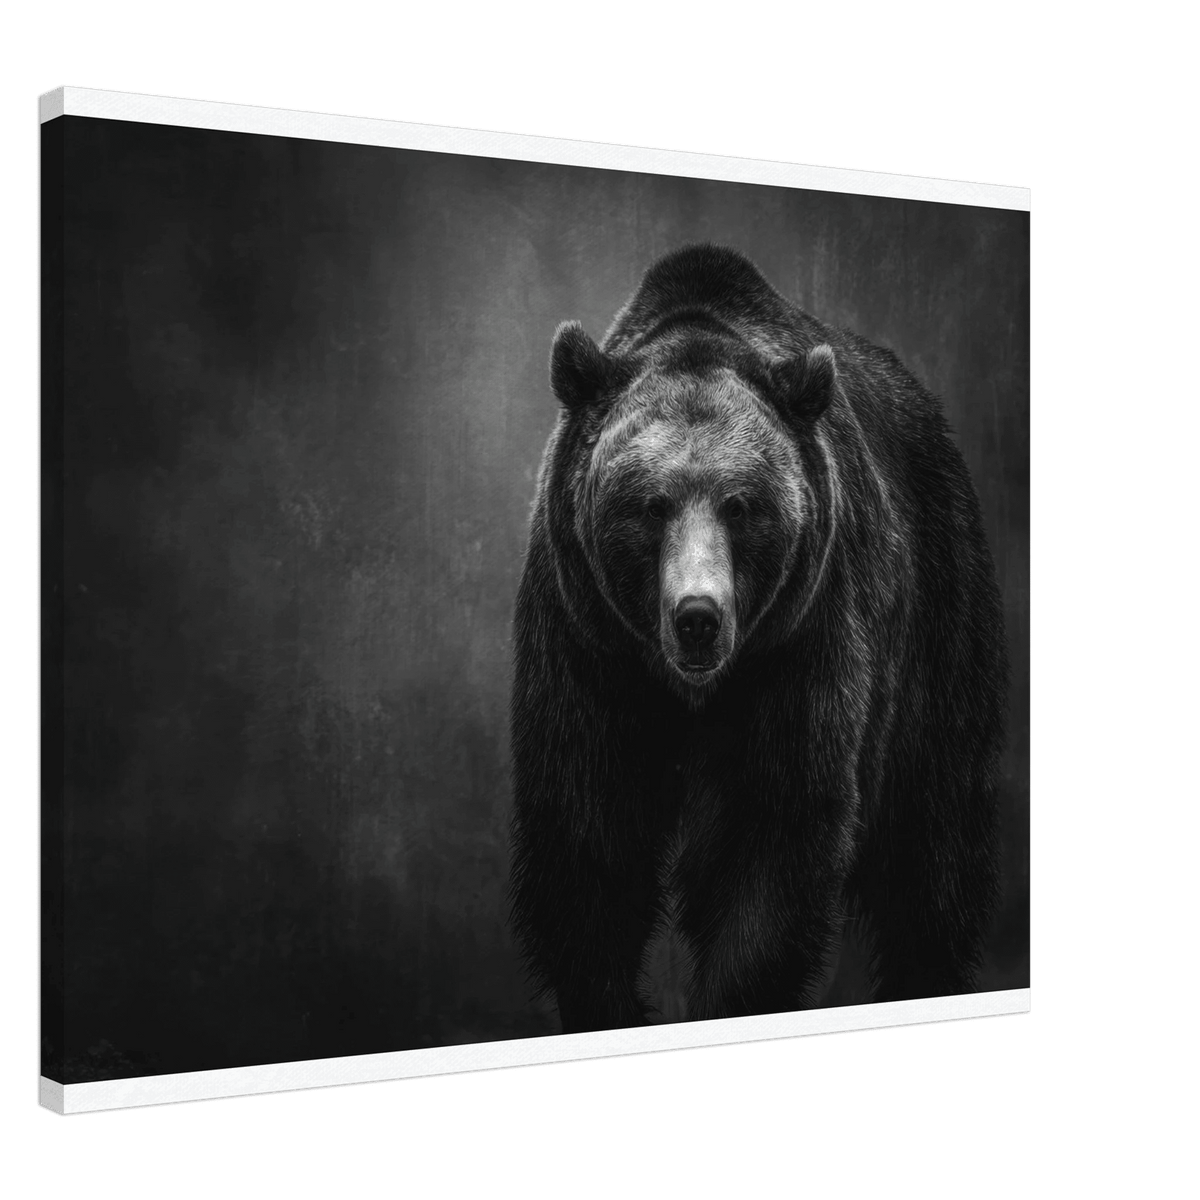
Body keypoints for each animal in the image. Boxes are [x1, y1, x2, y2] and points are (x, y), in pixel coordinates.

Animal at [509, 244, 1007, 1034]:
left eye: (740, 505)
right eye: (650, 505)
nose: (697, 616)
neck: (690, 689)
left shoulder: (801, 639)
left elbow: (773, 835)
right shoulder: (586, 640)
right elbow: (587, 830)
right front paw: (609, 1002)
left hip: (940, 613)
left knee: (934, 843)